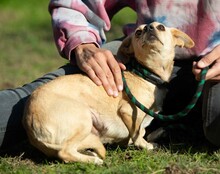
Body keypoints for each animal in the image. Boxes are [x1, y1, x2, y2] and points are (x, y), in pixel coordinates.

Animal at [22, 22, 194, 164]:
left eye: (161, 27)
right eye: (138, 32)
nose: (149, 28)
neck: (148, 75)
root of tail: (30, 121)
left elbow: (142, 131)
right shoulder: (128, 111)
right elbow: (138, 134)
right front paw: (146, 145)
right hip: (84, 119)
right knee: (64, 152)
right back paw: (94, 160)